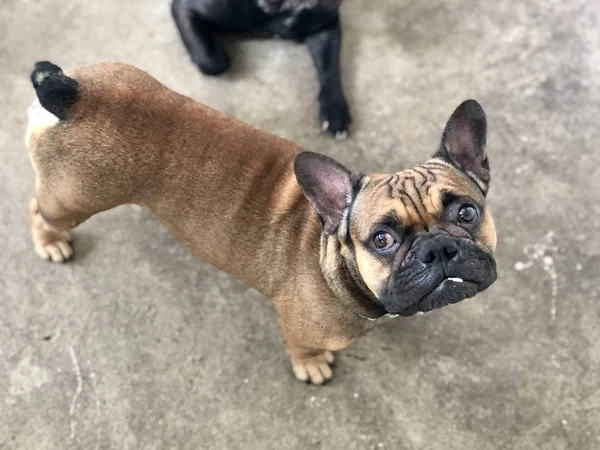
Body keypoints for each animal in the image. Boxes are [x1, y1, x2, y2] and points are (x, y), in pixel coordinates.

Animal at [171, 0, 350, 138]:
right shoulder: (185, 7)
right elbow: (211, 60)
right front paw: (218, 51)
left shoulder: (326, 25)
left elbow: (330, 67)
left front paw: (335, 108)